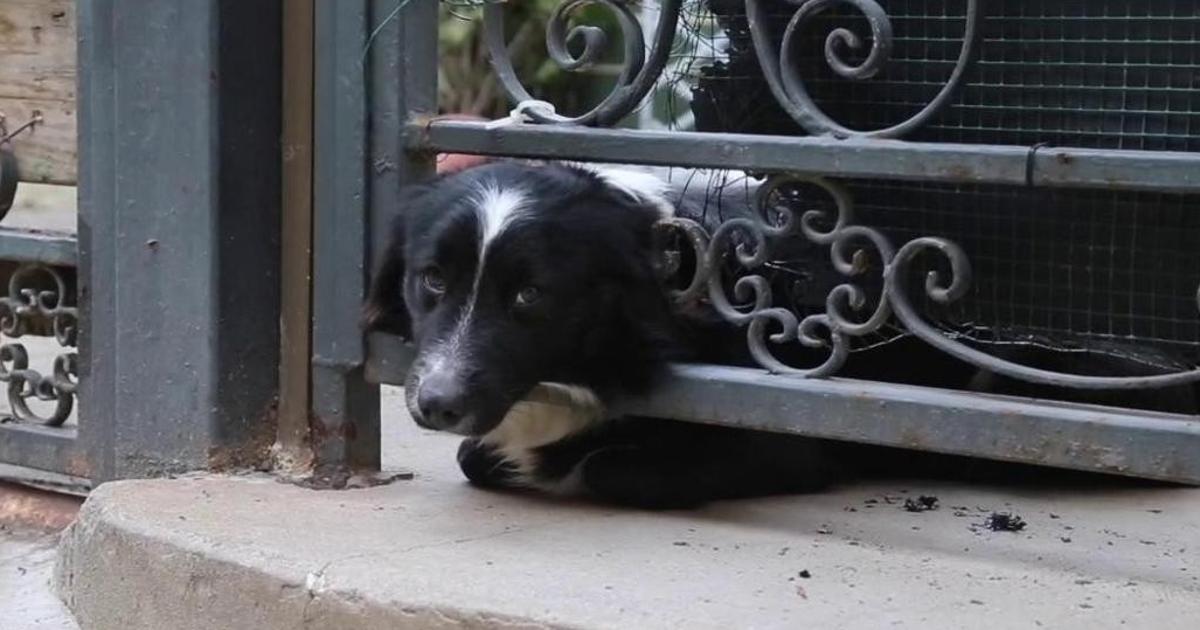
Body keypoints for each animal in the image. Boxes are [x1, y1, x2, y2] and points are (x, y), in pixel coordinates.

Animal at [364, 159, 1171, 508]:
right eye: (431, 280)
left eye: (530, 296)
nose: (435, 405)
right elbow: (478, 455)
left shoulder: (787, 437)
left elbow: (610, 469)